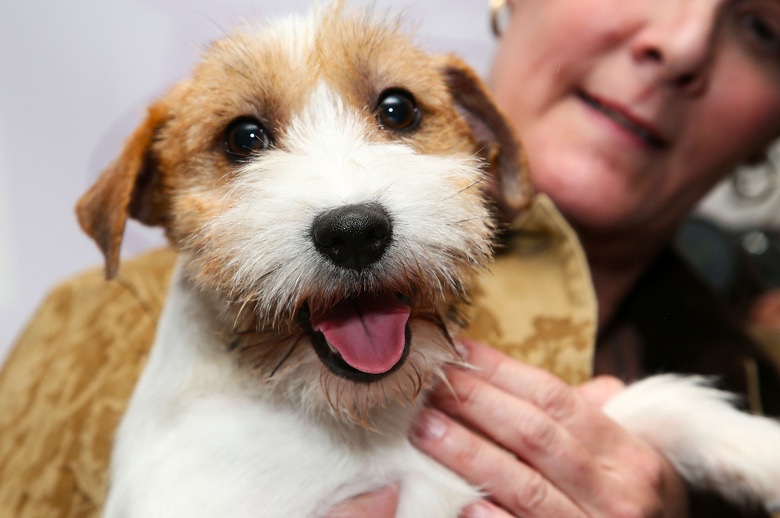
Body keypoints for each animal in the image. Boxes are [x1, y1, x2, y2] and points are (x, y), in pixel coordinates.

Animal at [77, 5, 780, 518]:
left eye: (398, 108)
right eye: (243, 137)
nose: (355, 232)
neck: (365, 427)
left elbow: (656, 403)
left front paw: (760, 453)